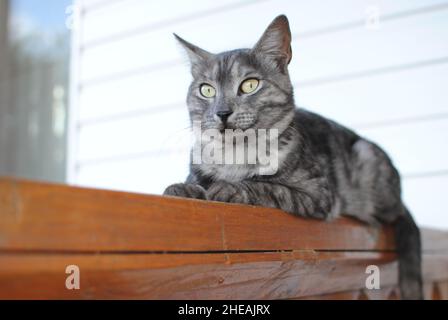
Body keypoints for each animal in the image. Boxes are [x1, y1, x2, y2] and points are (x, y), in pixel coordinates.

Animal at [164, 15, 424, 300]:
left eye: (250, 84)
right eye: (207, 90)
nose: (222, 112)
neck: (234, 154)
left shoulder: (317, 194)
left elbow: (266, 186)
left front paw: (229, 188)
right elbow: (195, 182)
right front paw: (182, 188)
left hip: (368, 163)